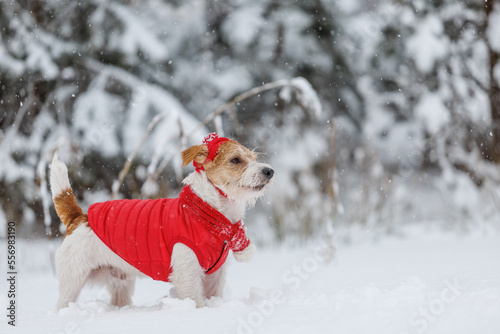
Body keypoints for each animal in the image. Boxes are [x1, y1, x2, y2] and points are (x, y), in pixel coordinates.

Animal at [50, 133, 274, 308]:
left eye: (254, 158)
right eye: (235, 160)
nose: (269, 171)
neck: (210, 213)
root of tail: (78, 217)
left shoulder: (214, 276)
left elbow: (213, 296)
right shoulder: (187, 272)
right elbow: (196, 301)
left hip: (121, 282)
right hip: (73, 280)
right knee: (62, 304)